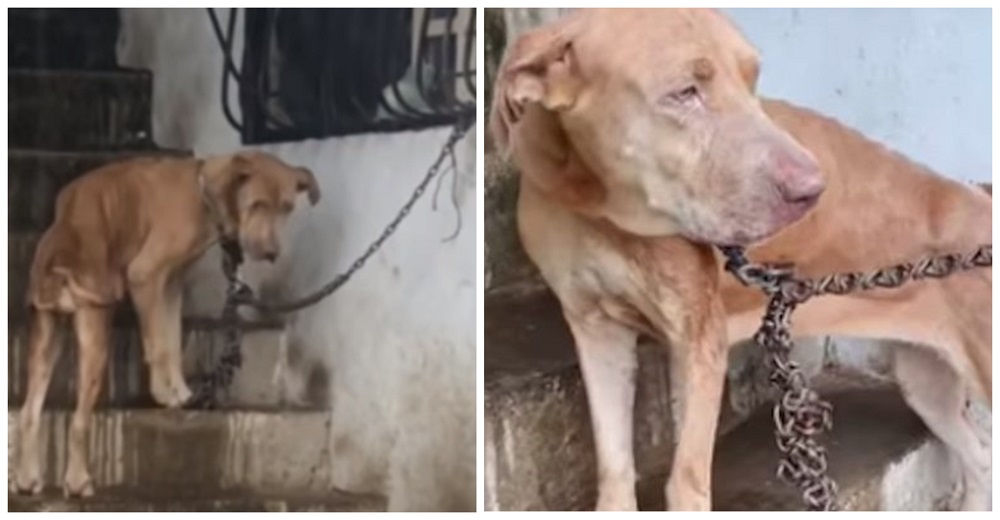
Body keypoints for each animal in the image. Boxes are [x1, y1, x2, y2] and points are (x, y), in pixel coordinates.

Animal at [10, 150, 320, 496]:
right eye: (256, 204)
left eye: (287, 208)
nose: (271, 253)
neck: (202, 191)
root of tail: (58, 262)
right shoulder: (146, 275)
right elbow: (157, 344)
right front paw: (163, 394)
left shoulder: (172, 282)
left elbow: (171, 339)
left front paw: (182, 393)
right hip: (94, 334)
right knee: (79, 420)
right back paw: (78, 481)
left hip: (45, 336)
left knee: (29, 412)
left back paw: (27, 478)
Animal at [492, 8, 992, 512]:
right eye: (684, 93)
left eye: (752, 80)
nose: (814, 190)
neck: (598, 211)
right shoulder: (598, 333)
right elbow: (614, 472)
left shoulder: (698, 342)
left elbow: (685, 482)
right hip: (924, 384)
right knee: (981, 458)